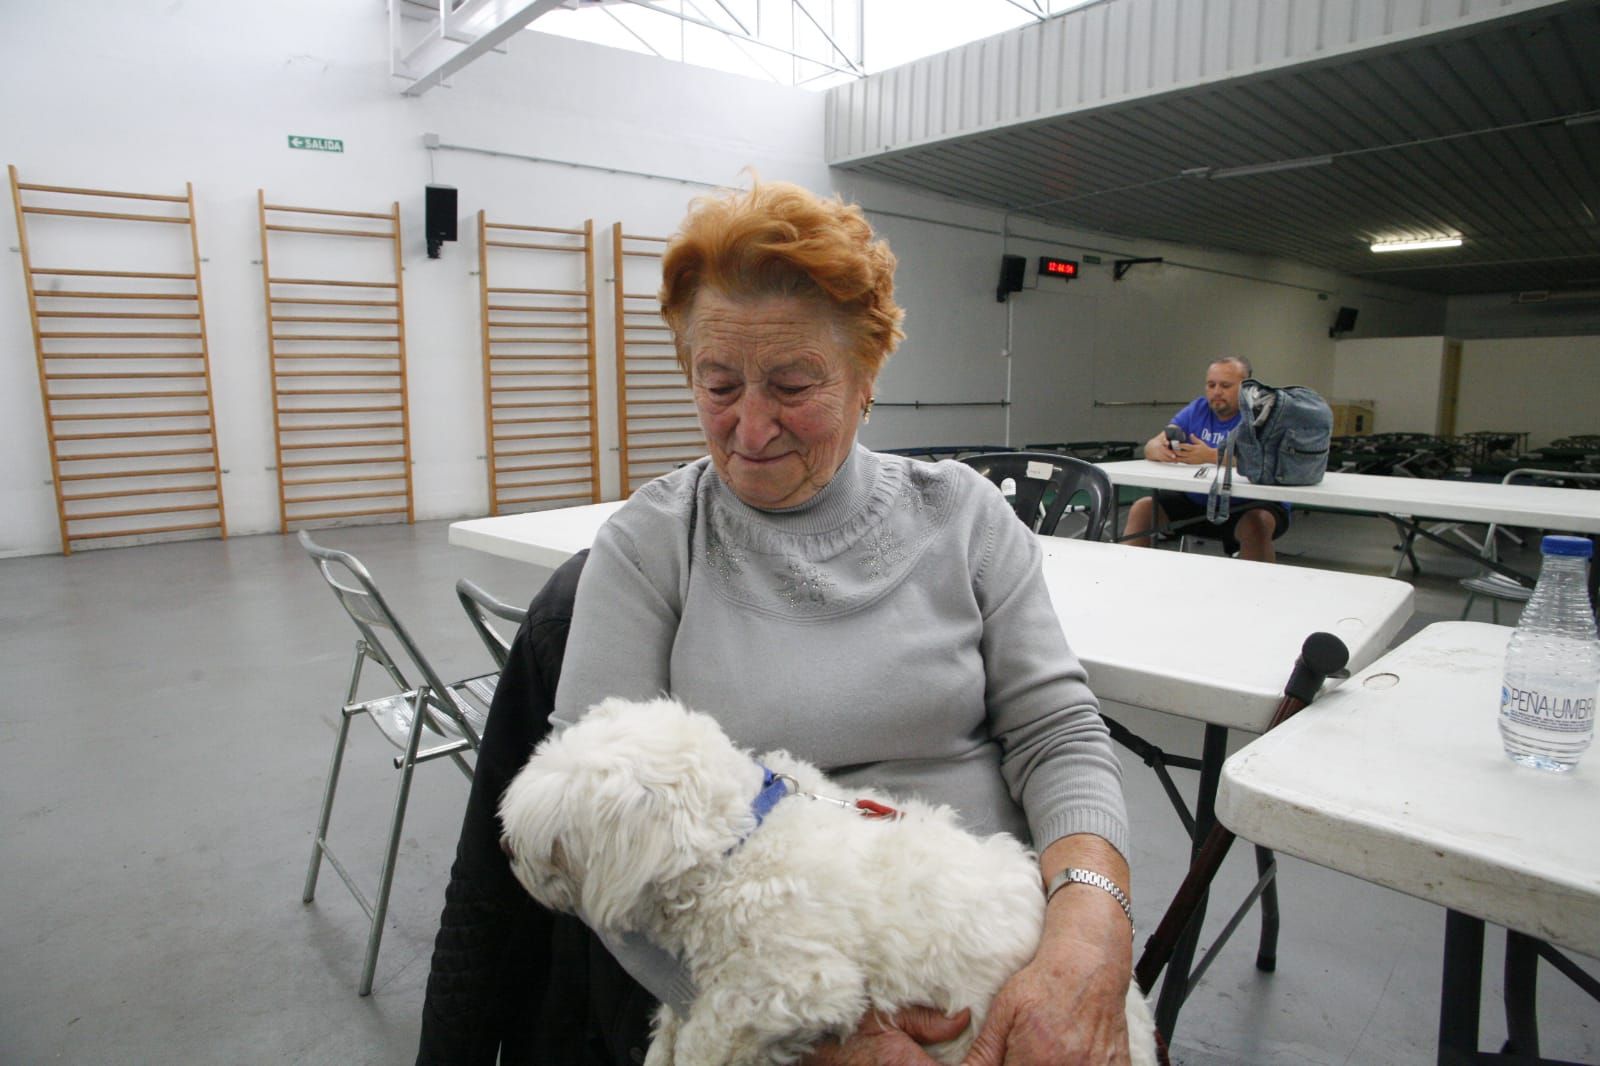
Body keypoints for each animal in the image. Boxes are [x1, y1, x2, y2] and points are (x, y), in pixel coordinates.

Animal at [492, 697, 1158, 1062]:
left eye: (553, 844)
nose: (502, 848)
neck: (743, 842)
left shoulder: (796, 985)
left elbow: (709, 1034)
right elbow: (676, 1021)